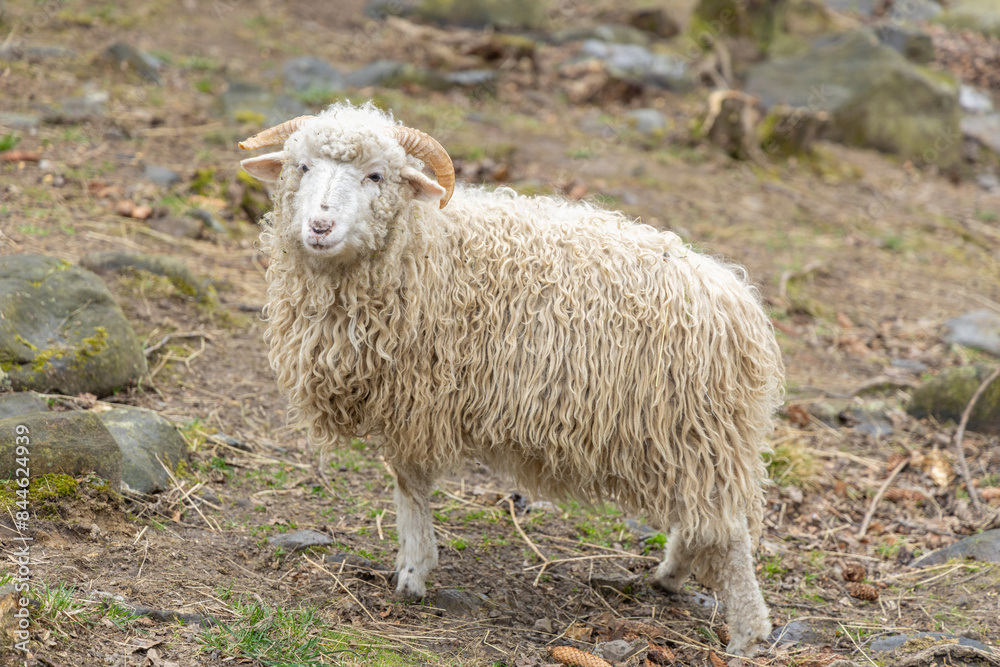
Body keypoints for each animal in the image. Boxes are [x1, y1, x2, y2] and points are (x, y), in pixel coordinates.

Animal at [238, 102, 784, 656]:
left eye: (376, 175)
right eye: (301, 166)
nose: (320, 226)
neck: (422, 244)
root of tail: (740, 304)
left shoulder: (418, 401)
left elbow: (409, 483)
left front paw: (413, 572)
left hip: (700, 431)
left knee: (727, 533)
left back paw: (747, 635)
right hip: (685, 440)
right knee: (701, 521)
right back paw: (670, 577)